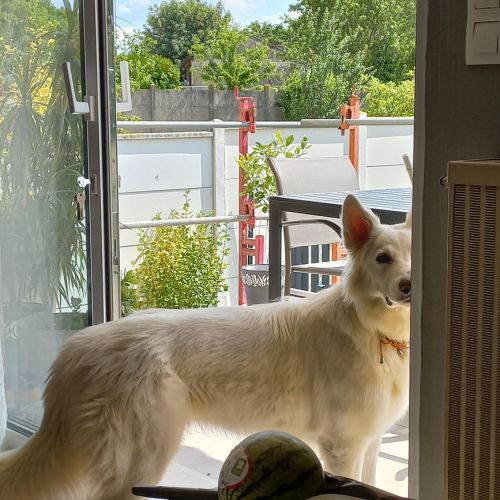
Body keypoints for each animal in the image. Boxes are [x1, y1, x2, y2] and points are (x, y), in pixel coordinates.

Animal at [0, 194, 411, 499]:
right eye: (382, 258)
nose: (408, 286)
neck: (369, 327)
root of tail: (75, 349)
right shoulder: (343, 447)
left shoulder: (369, 442)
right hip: (143, 458)